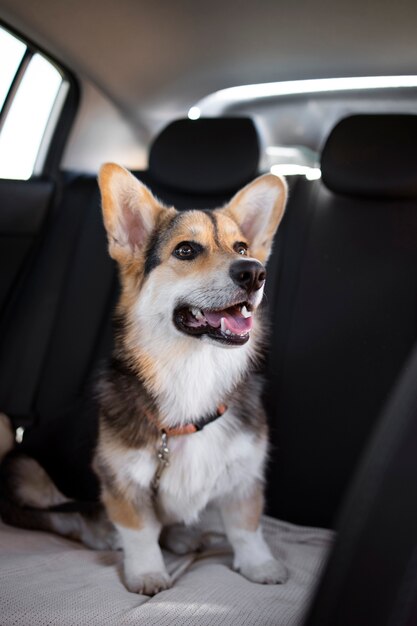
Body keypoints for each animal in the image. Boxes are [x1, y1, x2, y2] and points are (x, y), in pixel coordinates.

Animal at [0, 163, 286, 592]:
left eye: (242, 248)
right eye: (186, 250)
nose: (254, 272)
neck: (194, 369)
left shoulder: (244, 475)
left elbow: (246, 527)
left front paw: (260, 565)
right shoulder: (122, 480)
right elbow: (140, 531)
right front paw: (148, 572)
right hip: (25, 475)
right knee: (61, 518)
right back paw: (103, 533)